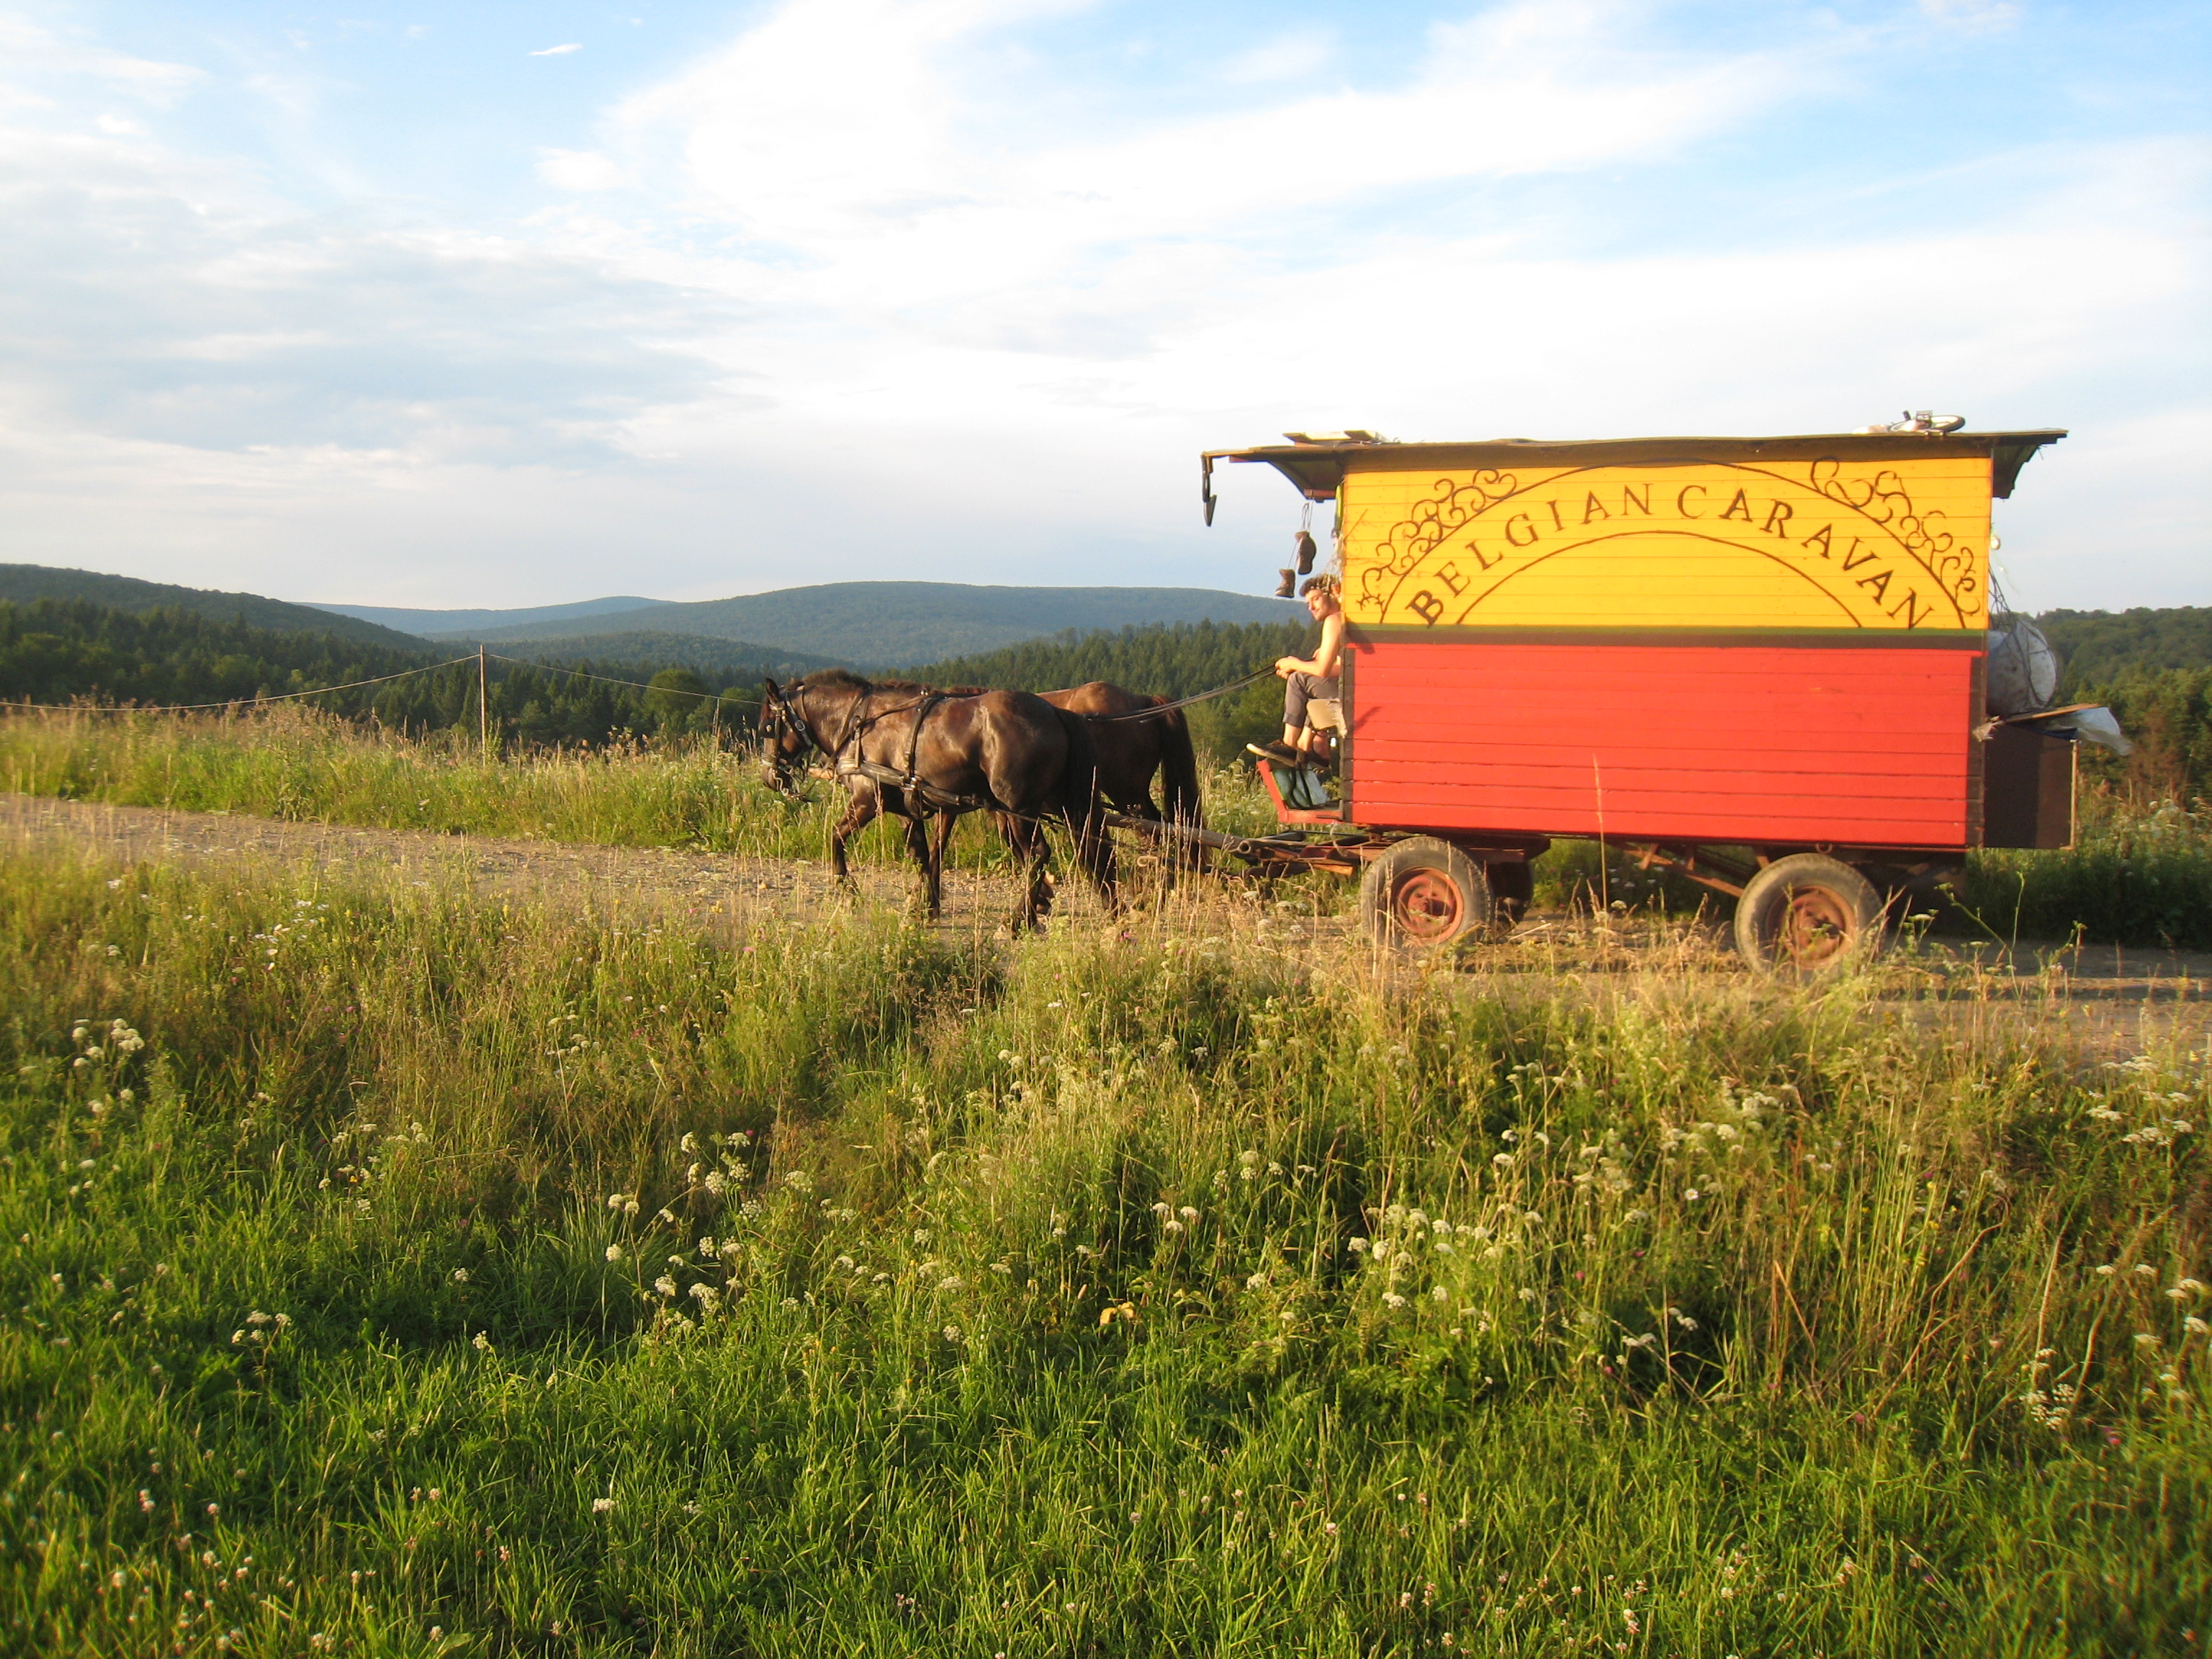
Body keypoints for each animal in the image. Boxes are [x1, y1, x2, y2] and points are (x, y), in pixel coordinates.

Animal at [760, 677, 1115, 938]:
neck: (860, 723)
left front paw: (847, 890)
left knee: (1037, 856)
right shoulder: (906, 809)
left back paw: (1018, 920)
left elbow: (835, 836)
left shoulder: (866, 802)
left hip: (1019, 808)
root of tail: (1055, 713)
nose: (769, 777)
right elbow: (922, 854)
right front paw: (923, 906)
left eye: (767, 726)